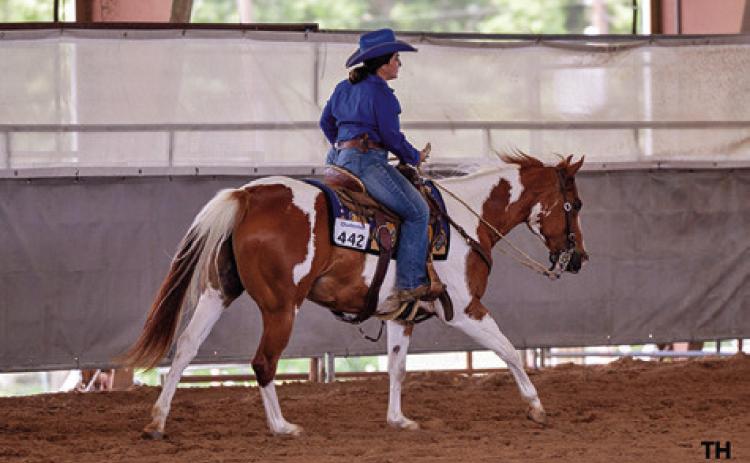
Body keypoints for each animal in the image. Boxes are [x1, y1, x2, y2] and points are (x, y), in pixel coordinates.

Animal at [122, 152, 588, 438]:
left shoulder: (400, 315)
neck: (463, 223)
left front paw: (398, 420)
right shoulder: (464, 309)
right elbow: (509, 350)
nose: (579, 258)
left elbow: (397, 368)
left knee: (185, 348)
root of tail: (249, 195)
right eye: (576, 205)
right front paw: (537, 407)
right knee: (263, 362)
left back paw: (157, 422)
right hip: (280, 306)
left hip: (219, 292)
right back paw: (282, 427)